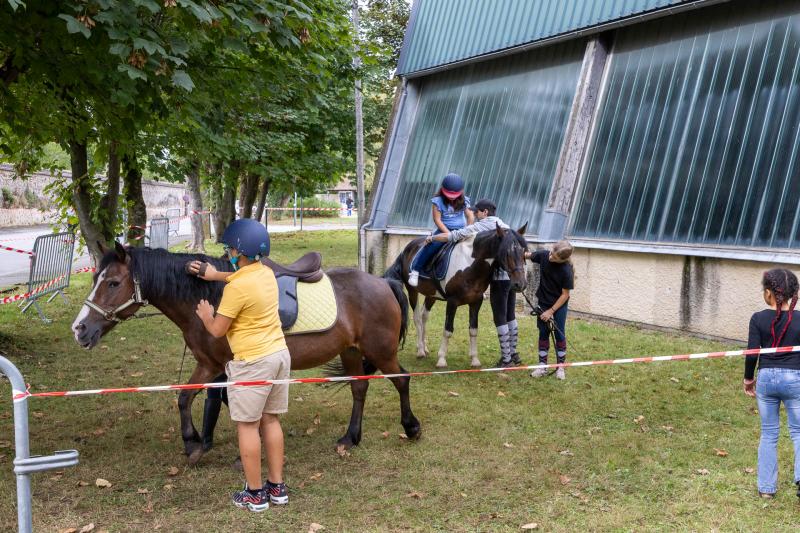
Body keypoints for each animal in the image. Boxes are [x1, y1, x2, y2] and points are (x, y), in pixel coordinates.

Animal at [72, 241, 422, 462]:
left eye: (113, 283)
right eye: (96, 279)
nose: (80, 329)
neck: (211, 297)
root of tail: (383, 282)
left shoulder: (226, 366)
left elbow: (220, 401)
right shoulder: (209, 363)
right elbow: (187, 397)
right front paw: (195, 443)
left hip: (381, 351)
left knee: (402, 380)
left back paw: (411, 426)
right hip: (350, 351)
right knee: (359, 388)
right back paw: (351, 437)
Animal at [384, 222, 528, 368]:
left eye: (523, 252)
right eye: (507, 253)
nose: (520, 284)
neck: (470, 265)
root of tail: (406, 249)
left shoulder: (476, 302)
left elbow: (473, 329)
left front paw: (475, 359)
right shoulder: (452, 302)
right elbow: (448, 330)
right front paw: (442, 359)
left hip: (431, 295)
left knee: (424, 316)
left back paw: (424, 347)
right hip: (412, 291)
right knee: (417, 318)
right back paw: (420, 350)